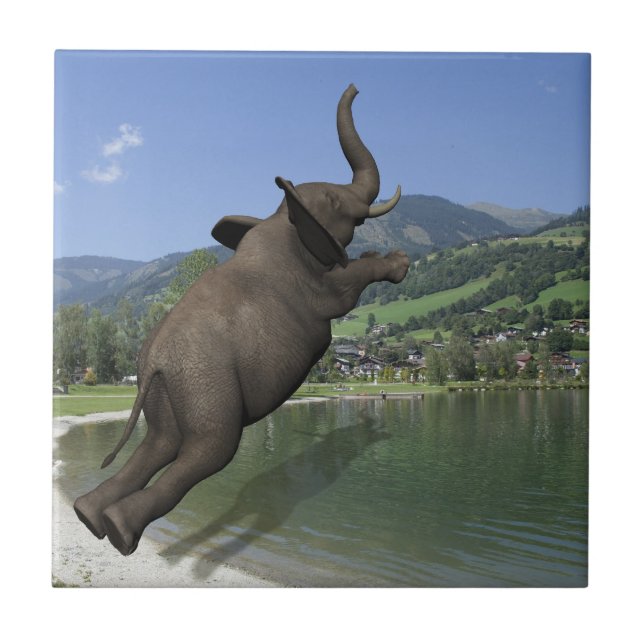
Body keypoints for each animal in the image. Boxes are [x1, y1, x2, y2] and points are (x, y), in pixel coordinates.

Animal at [73, 83, 410, 555]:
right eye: (333, 200)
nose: (356, 87)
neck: (280, 218)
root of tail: (153, 361)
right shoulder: (307, 286)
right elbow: (343, 289)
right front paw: (398, 262)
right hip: (206, 382)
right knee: (207, 451)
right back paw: (121, 532)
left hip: (168, 389)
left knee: (159, 443)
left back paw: (89, 516)